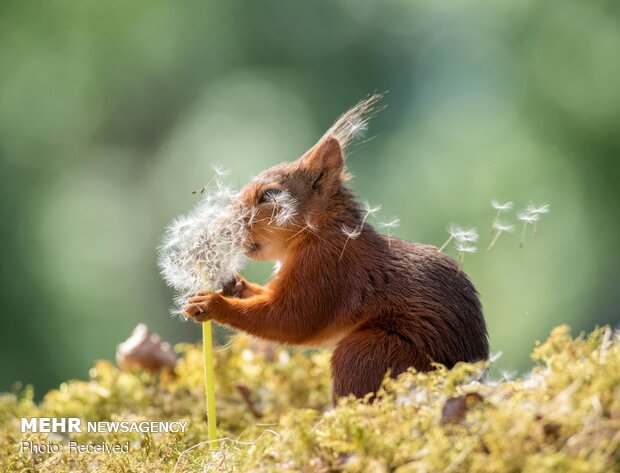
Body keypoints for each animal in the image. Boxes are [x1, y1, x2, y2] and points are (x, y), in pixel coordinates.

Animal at [184, 94, 490, 400]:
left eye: (270, 195)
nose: (224, 225)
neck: (320, 231)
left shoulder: (327, 268)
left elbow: (290, 319)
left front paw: (213, 304)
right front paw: (233, 285)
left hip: (368, 352)